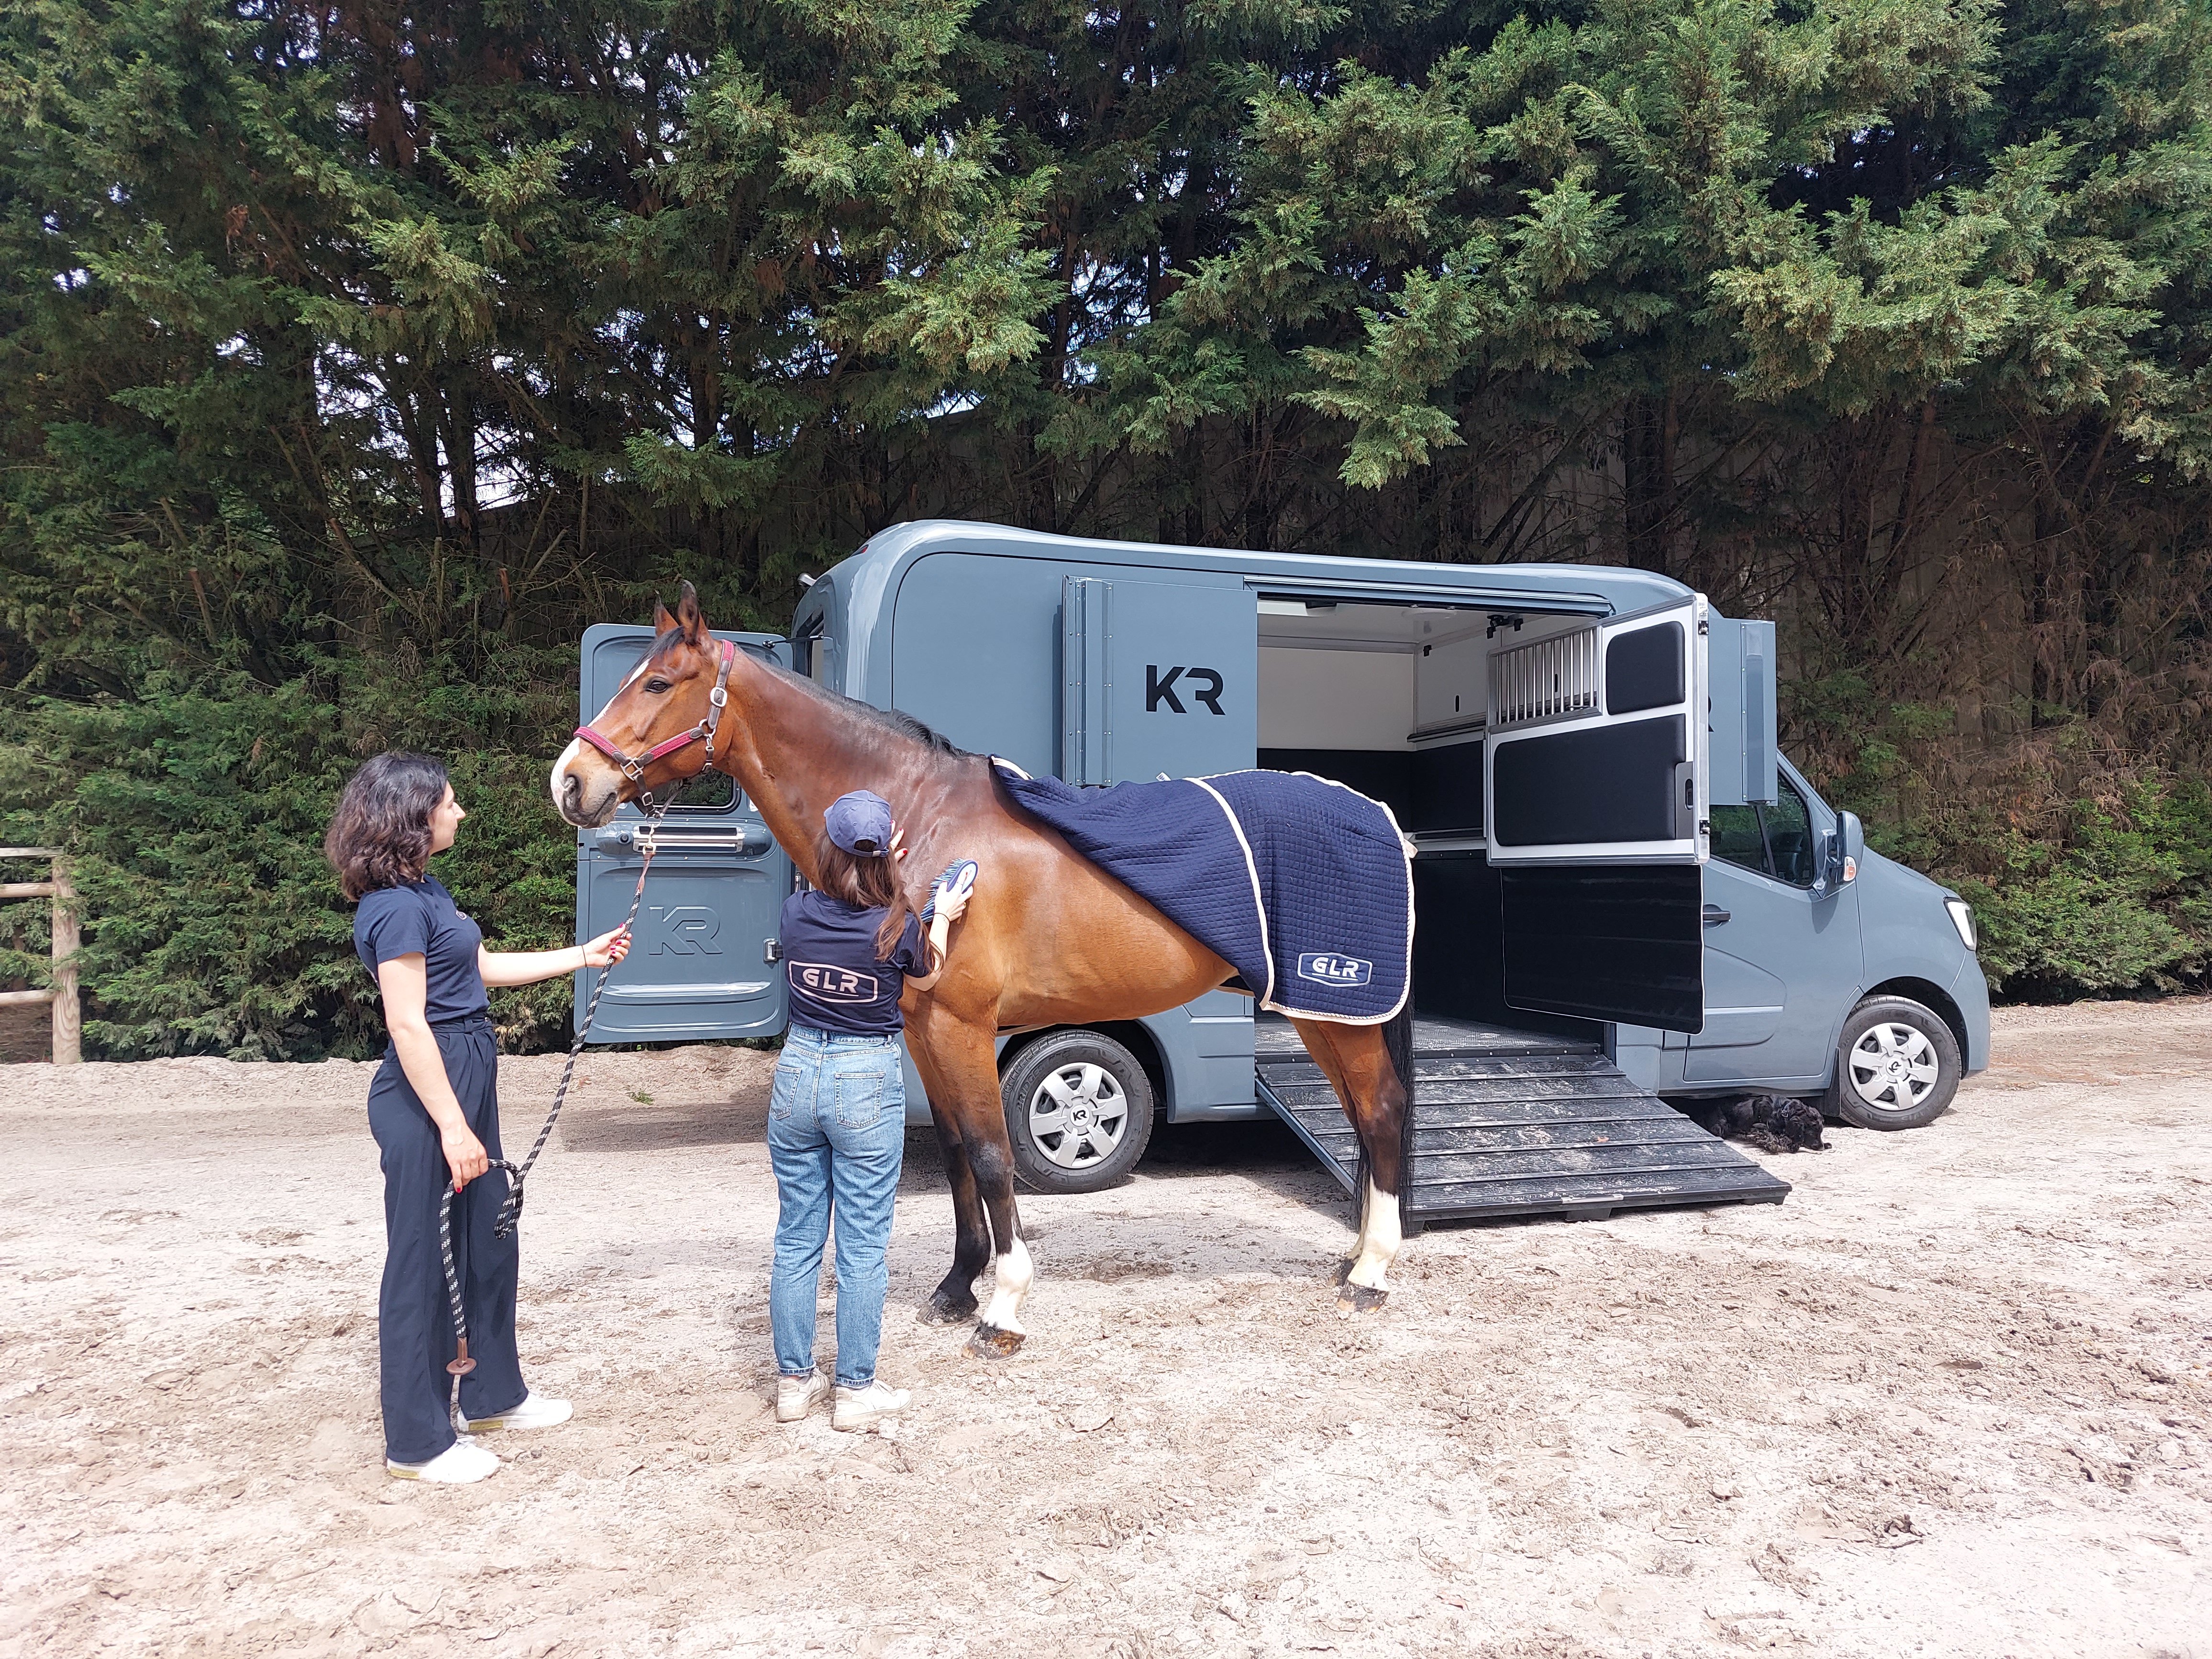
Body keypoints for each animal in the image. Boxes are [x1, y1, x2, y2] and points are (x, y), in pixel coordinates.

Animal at [553, 593, 1416, 1353]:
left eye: (657, 684)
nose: (571, 781)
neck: (915, 820)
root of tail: (1378, 816)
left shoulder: (964, 1026)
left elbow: (995, 1151)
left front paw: (1002, 1304)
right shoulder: (923, 1031)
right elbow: (958, 1150)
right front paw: (955, 1285)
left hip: (1336, 1004)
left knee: (1377, 1111)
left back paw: (1371, 1273)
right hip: (1316, 1012)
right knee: (1361, 1117)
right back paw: (1354, 1255)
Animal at [1672, 1106, 1831, 1159]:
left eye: (1821, 1132)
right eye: (1813, 1131)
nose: (1821, 1147)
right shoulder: (1761, 1127)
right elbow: (1775, 1137)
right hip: (1721, 1124)